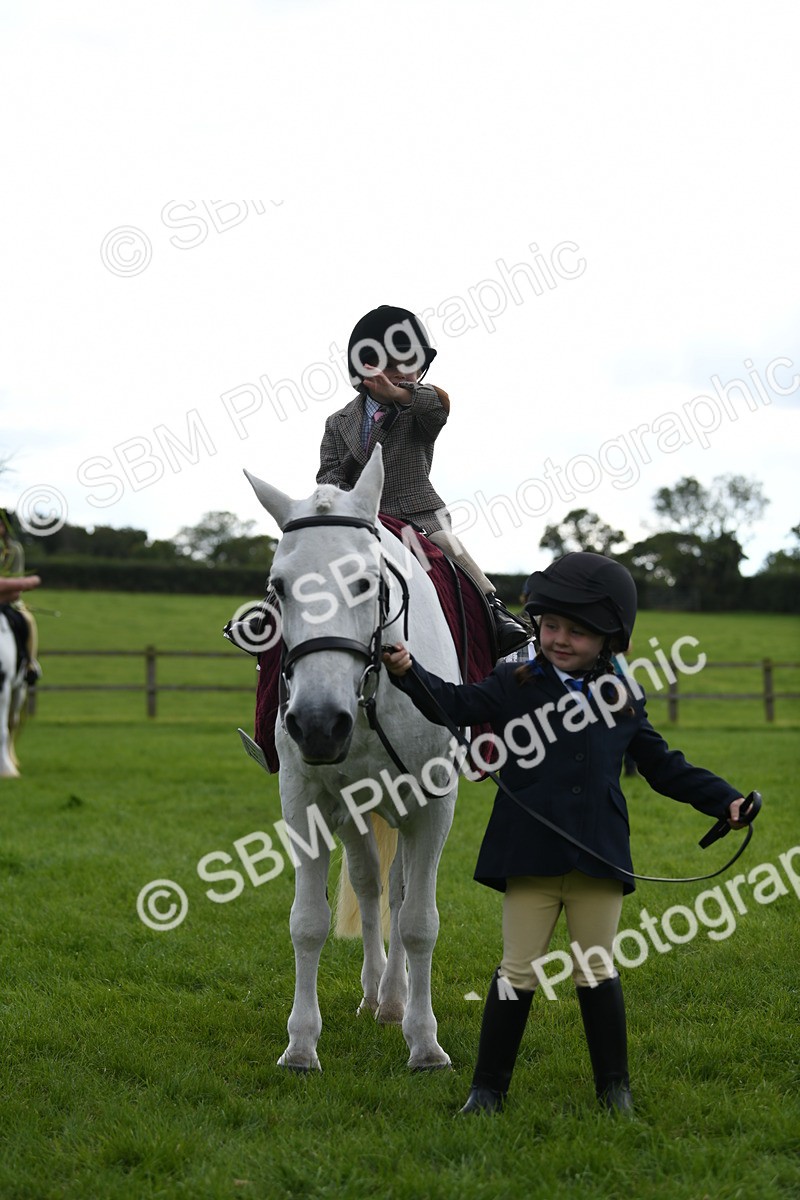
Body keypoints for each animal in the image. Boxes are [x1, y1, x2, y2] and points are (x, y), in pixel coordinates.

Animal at [245, 446, 461, 1072]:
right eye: (278, 586)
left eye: (366, 581)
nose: (318, 724)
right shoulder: (307, 802)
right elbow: (309, 922)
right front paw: (300, 1044)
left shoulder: (432, 807)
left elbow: (418, 922)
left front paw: (425, 1043)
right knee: (370, 885)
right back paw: (374, 994)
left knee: (400, 891)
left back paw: (394, 1000)